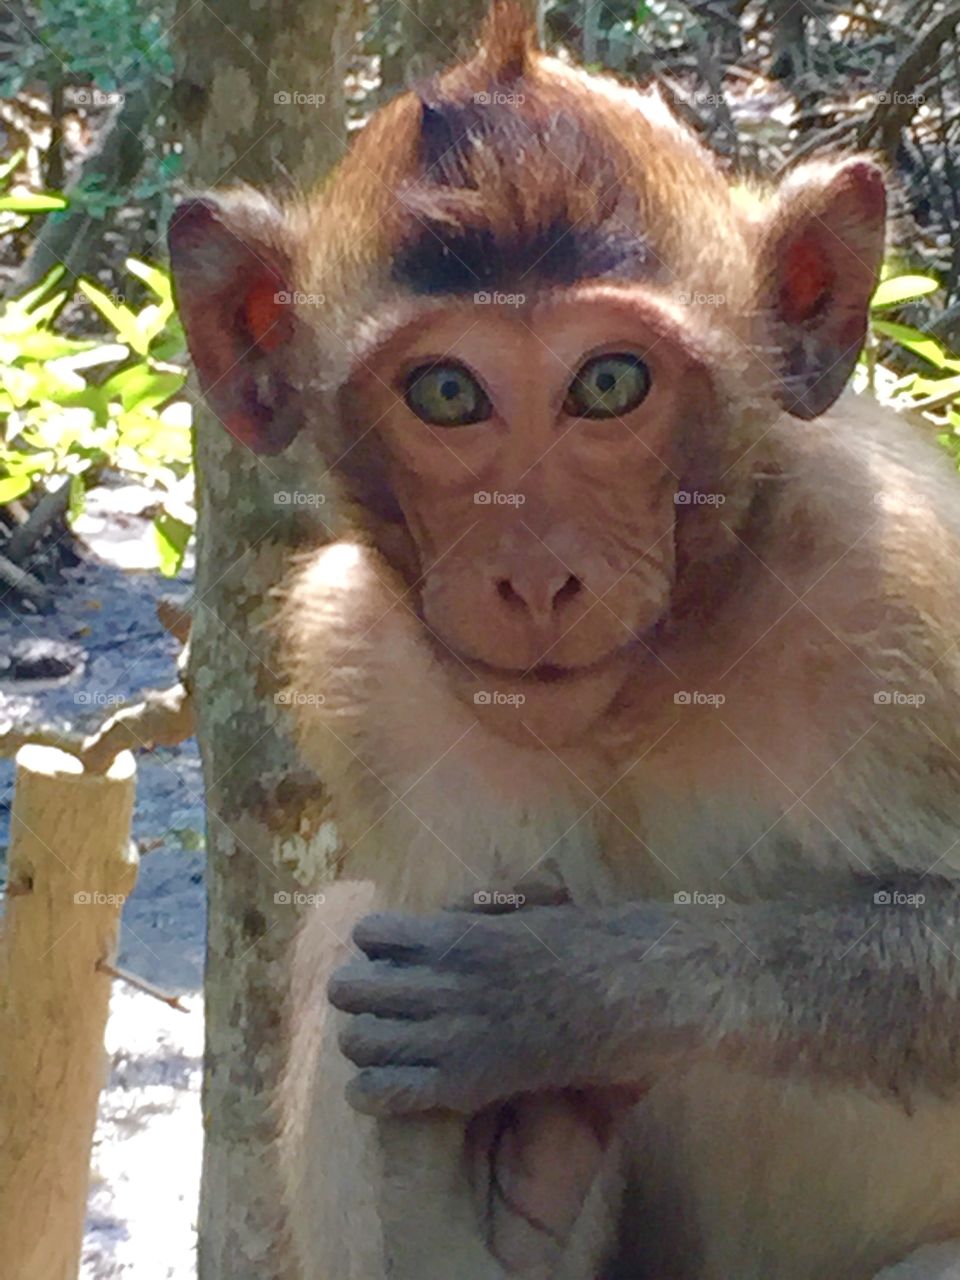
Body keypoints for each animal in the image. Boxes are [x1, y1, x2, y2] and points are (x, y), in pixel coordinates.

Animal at [167, 4, 960, 1278]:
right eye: (446, 392)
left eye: (610, 381)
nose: (537, 576)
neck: (662, 673)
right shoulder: (352, 656)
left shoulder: (904, 583)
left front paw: (571, 992)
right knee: (346, 933)